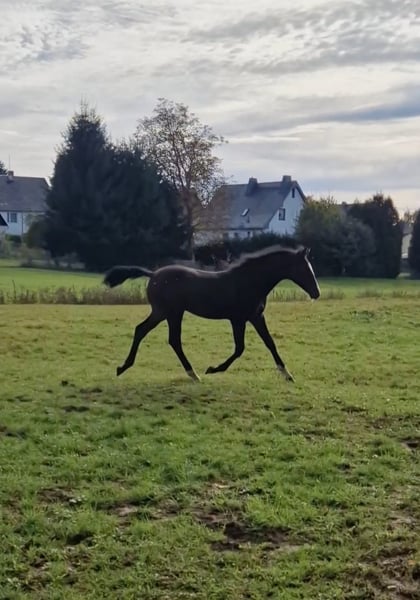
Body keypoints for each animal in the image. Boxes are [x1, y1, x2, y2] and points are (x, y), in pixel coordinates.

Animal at [103, 245, 320, 382]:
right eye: (304, 268)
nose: (316, 293)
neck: (250, 281)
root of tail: (153, 274)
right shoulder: (238, 319)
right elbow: (239, 348)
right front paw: (213, 369)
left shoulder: (256, 317)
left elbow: (270, 343)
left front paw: (287, 374)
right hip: (167, 312)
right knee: (156, 334)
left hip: (170, 313)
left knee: (158, 335)